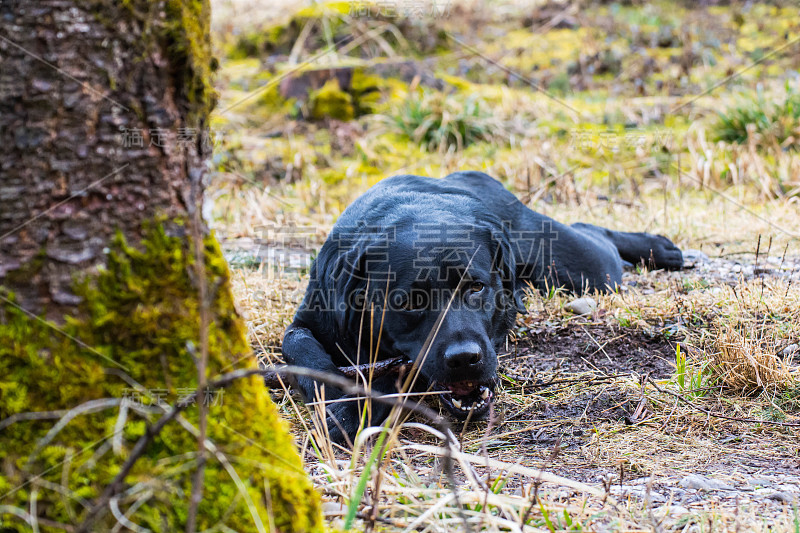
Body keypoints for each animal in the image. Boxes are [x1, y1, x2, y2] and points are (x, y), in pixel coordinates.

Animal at [282, 170, 680, 440]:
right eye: (410, 300)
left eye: (476, 287)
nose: (464, 359)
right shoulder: (309, 317)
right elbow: (299, 348)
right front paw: (337, 404)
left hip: (582, 268)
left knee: (595, 234)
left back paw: (659, 248)